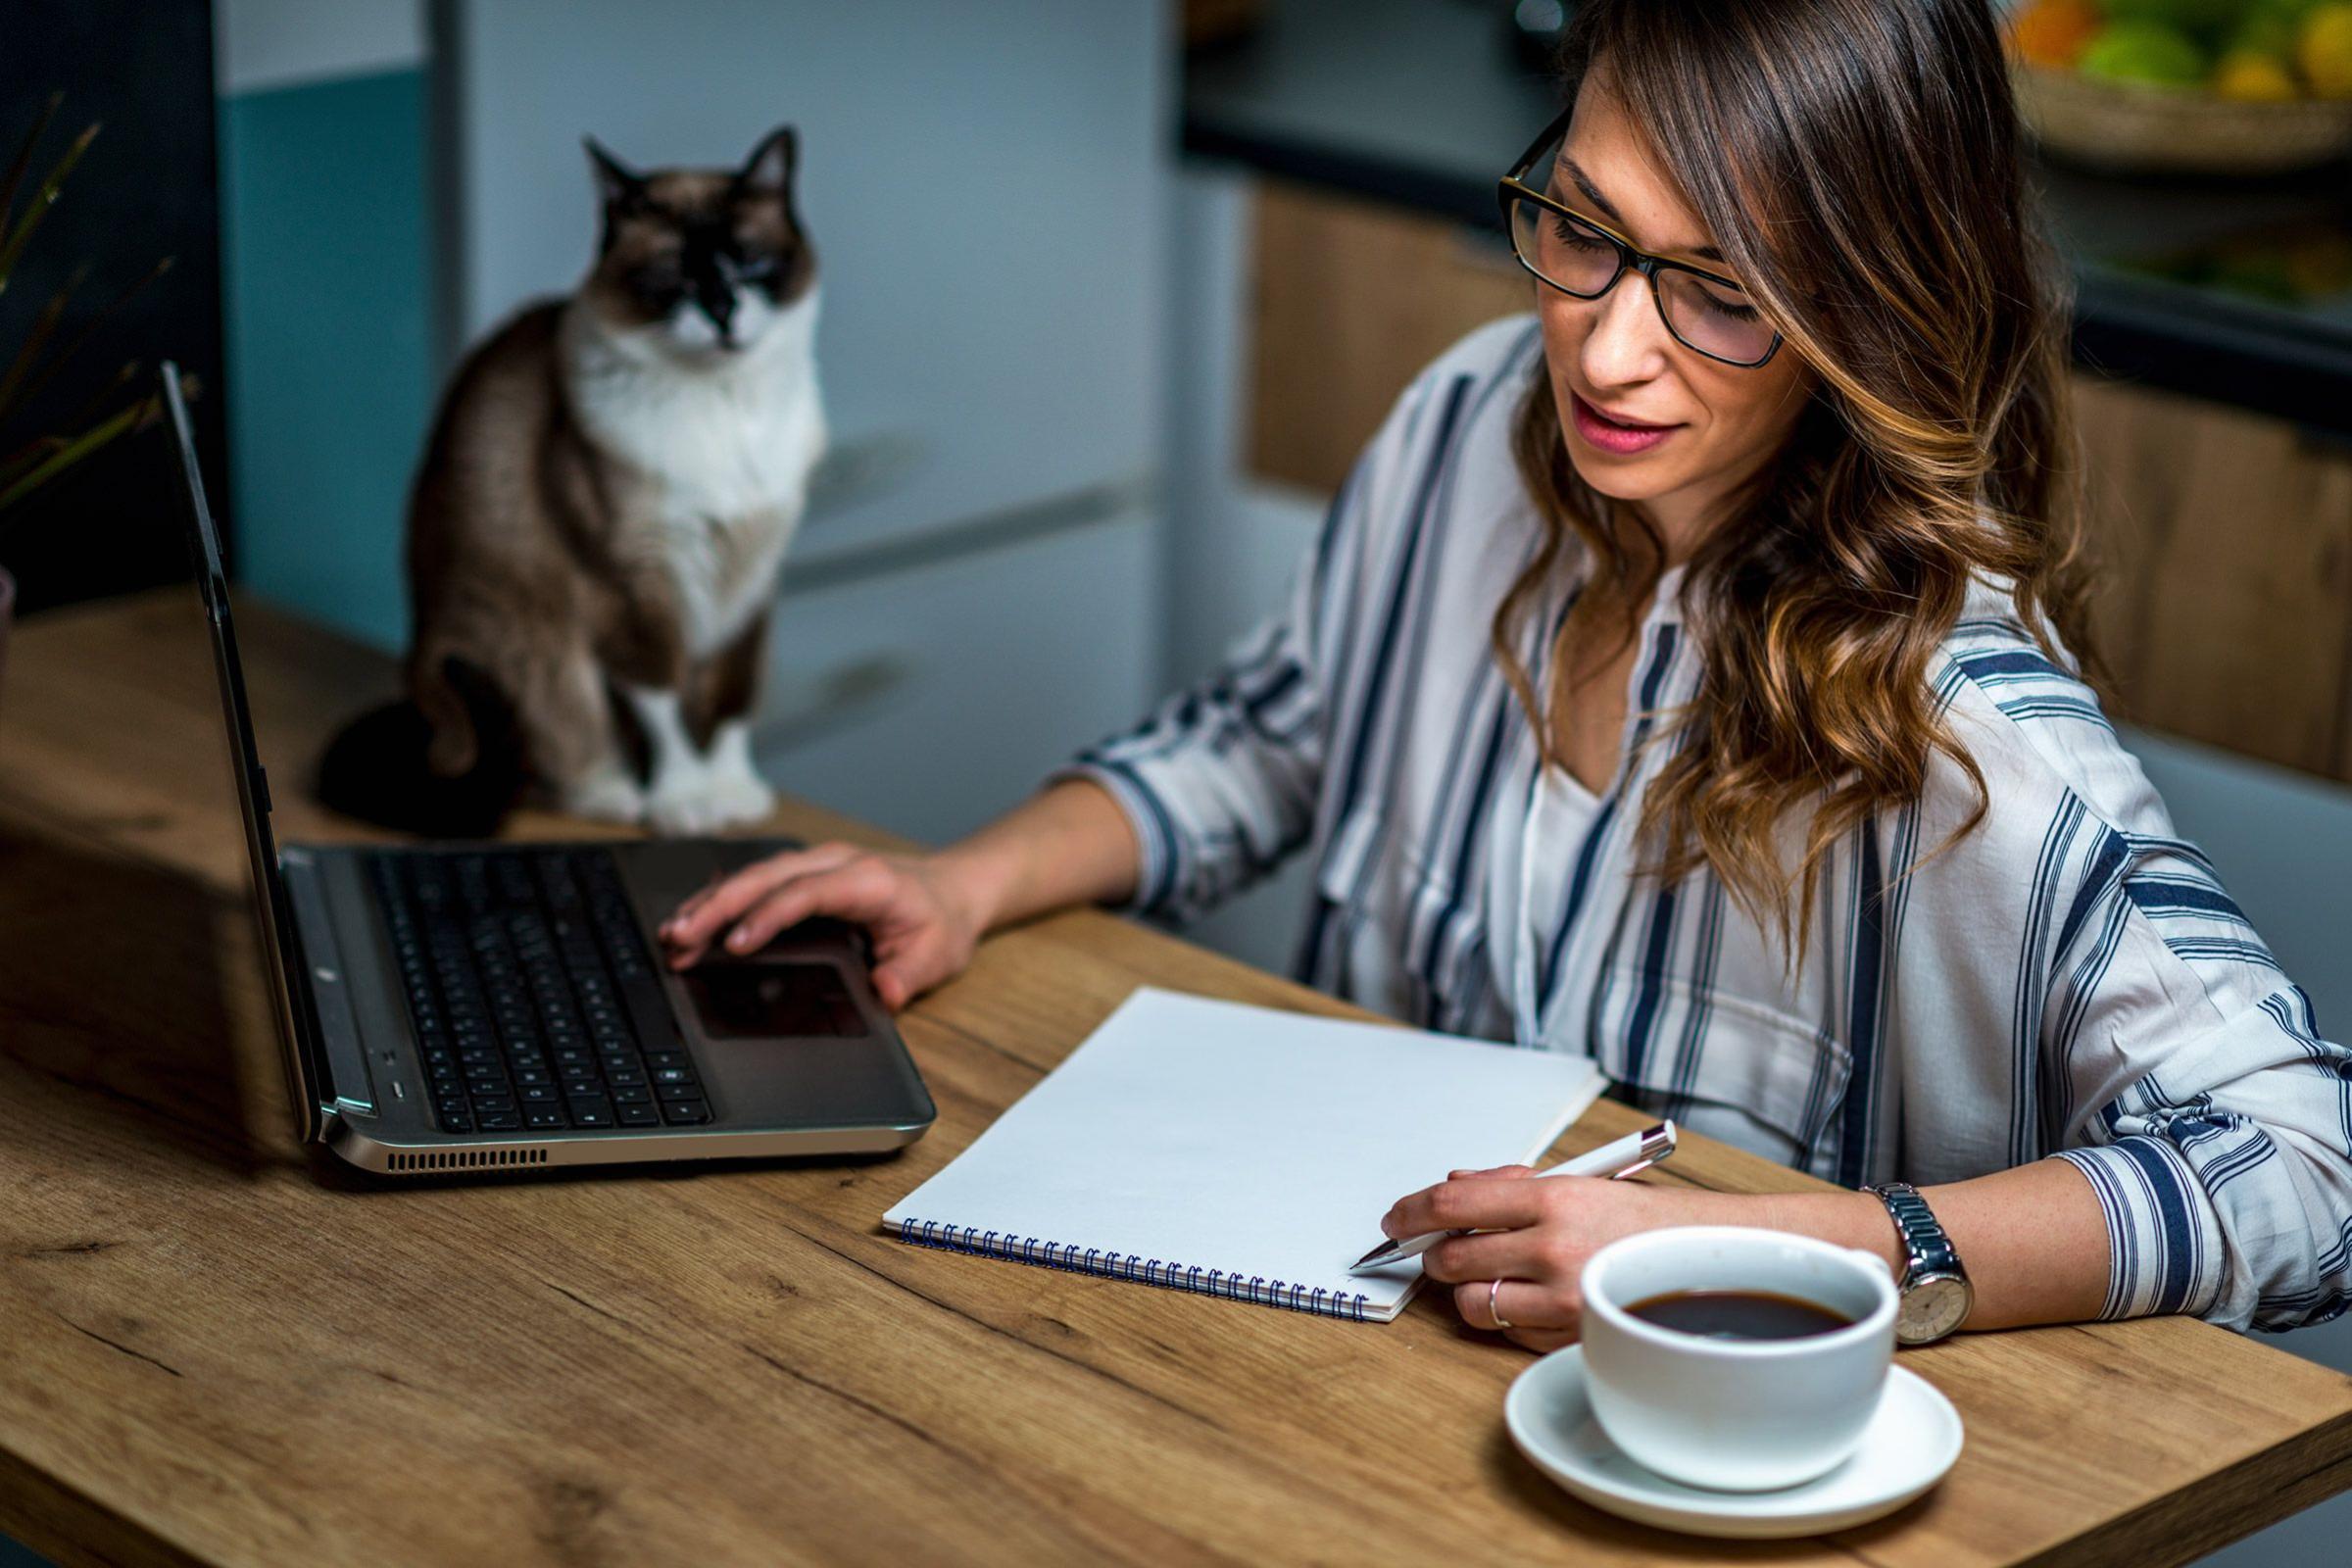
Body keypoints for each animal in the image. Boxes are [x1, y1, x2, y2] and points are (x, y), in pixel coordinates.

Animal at [319, 125, 818, 832]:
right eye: (673, 278)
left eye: (750, 264)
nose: (723, 312)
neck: (725, 406)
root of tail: (419, 669)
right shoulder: (634, 584)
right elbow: (665, 700)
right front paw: (687, 802)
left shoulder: (752, 578)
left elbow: (729, 698)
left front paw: (734, 793)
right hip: (536, 647)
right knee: (560, 749)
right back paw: (620, 792)